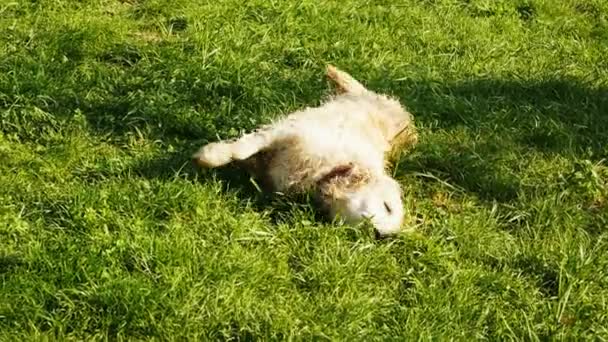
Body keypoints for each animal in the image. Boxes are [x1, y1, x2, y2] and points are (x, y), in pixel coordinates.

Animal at [195, 65, 418, 236]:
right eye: (388, 207)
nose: (380, 235)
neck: (328, 170)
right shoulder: (287, 130)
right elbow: (241, 149)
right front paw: (209, 155)